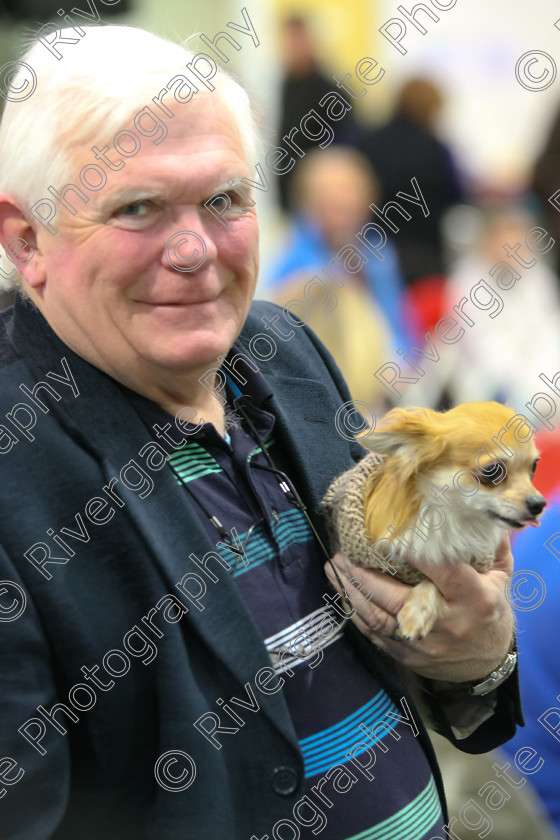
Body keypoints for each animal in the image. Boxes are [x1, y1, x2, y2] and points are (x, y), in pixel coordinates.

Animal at [324, 400, 548, 636]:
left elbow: (433, 581)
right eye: (492, 471)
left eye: (534, 467)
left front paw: (417, 611)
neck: (450, 518)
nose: (539, 504)